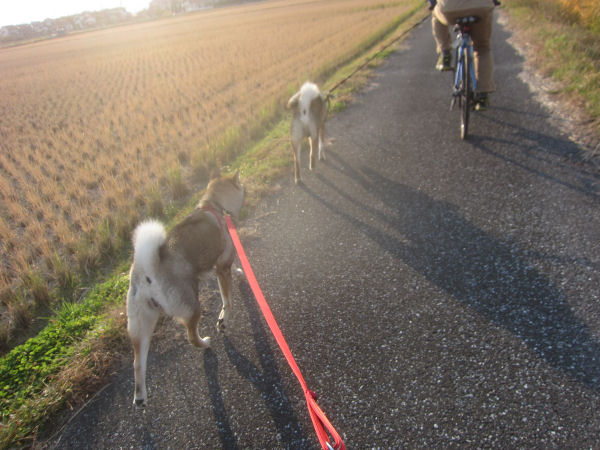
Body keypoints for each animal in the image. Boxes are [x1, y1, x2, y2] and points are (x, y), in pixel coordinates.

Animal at [125, 171, 245, 404]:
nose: (245, 189)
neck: (214, 204)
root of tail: (147, 271)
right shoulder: (222, 266)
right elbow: (227, 300)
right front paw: (223, 320)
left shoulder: (219, 265)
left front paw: (239, 272)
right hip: (192, 306)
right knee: (191, 336)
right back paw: (205, 342)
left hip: (141, 323)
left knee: (137, 362)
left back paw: (140, 396)